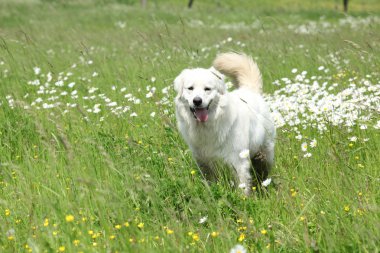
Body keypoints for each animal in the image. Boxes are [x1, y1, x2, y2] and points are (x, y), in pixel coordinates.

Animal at [174, 52, 274, 195]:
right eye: (190, 88)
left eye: (207, 89)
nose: (197, 101)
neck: (208, 125)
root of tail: (249, 90)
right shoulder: (203, 161)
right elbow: (210, 181)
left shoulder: (238, 160)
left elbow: (242, 185)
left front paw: (243, 198)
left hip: (265, 154)